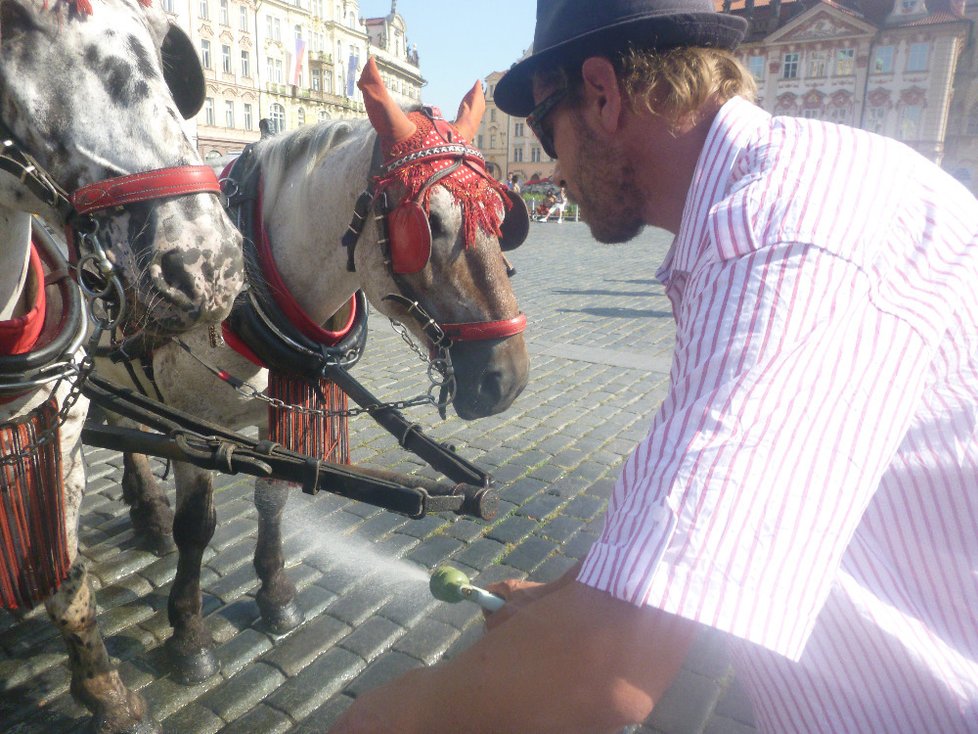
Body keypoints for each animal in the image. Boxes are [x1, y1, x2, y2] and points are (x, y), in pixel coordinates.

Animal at [0, 2, 243, 732]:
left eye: (156, 40)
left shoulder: (59, 441)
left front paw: (103, 691)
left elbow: (66, 574)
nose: (208, 266)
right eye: (17, 19)